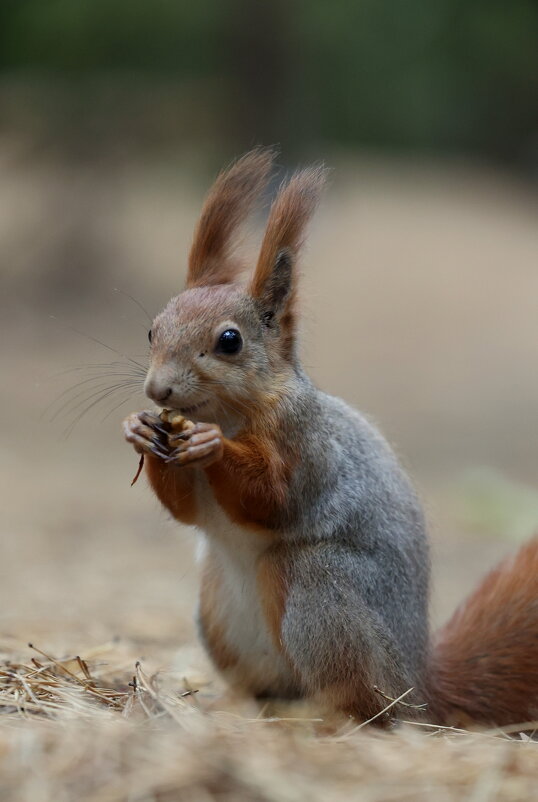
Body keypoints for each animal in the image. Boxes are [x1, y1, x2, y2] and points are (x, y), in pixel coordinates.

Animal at [122, 148, 536, 724]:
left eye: (230, 340)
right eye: (152, 330)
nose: (158, 390)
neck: (229, 414)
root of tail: (418, 686)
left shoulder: (308, 445)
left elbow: (273, 499)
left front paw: (212, 447)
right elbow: (186, 510)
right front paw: (140, 430)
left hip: (319, 589)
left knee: (364, 702)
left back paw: (329, 721)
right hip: (217, 605)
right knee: (270, 687)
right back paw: (236, 706)